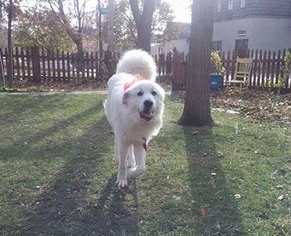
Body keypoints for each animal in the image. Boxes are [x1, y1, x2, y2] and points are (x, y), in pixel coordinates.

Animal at [104, 49, 164, 188]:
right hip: (117, 131)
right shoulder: (124, 140)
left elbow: (142, 168)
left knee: (130, 151)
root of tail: (122, 73)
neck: (135, 120)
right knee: (116, 142)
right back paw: (117, 157)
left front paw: (132, 172)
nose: (148, 103)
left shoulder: (140, 141)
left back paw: (131, 162)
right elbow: (121, 165)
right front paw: (122, 179)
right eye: (139, 93)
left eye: (154, 93)